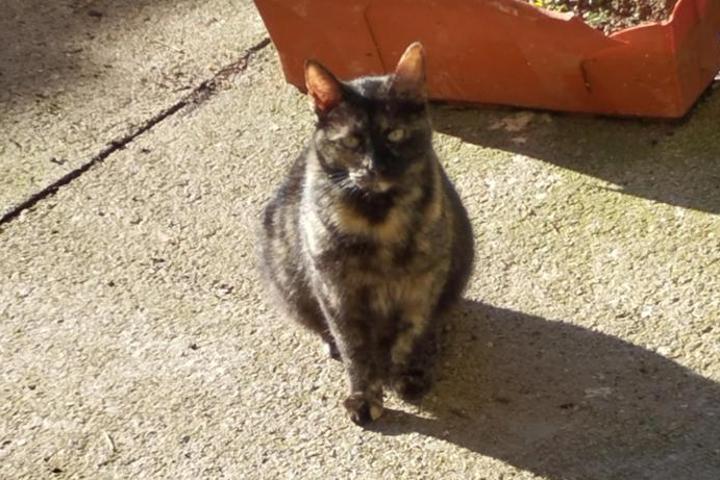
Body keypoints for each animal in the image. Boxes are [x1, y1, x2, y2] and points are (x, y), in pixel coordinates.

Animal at [259, 42, 474, 426]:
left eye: (395, 134)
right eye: (352, 141)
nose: (375, 167)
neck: (379, 218)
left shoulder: (422, 285)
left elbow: (411, 334)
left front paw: (407, 374)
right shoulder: (337, 293)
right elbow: (354, 348)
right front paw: (363, 396)